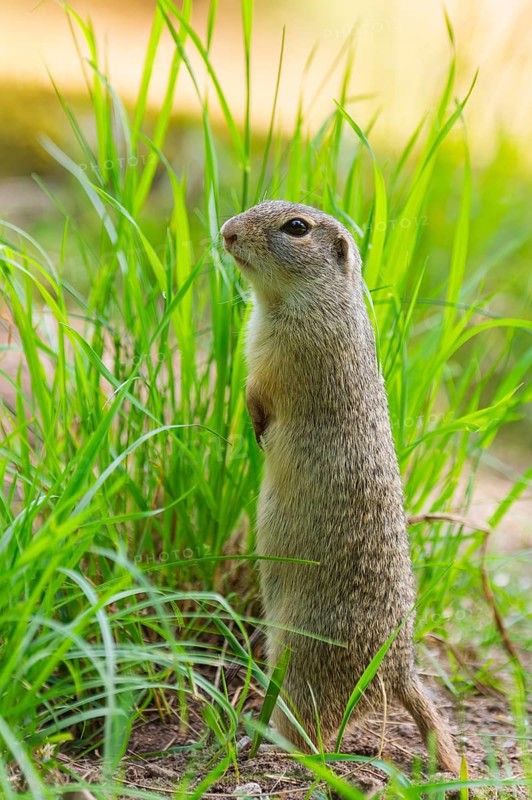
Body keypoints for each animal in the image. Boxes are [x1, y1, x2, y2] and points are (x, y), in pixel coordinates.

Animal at [221, 201, 461, 774]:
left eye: (296, 228)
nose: (227, 231)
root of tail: (401, 669)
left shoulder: (289, 355)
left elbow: (263, 391)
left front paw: (258, 424)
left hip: (303, 660)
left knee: (315, 734)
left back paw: (263, 744)